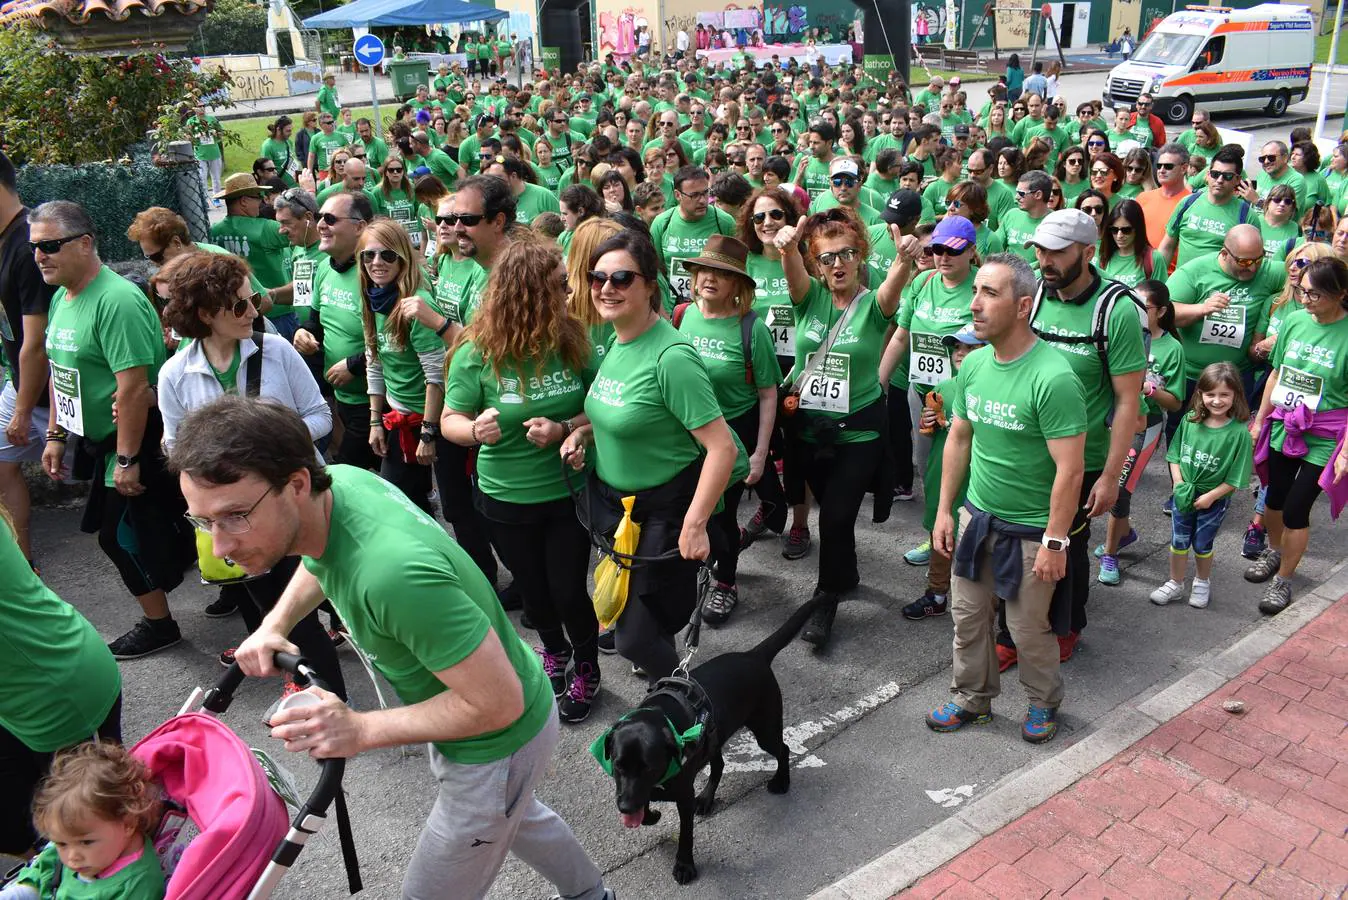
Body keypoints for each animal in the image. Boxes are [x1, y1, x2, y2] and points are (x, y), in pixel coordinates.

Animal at [598, 598, 819, 883]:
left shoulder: (683, 795)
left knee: (783, 749)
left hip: (766, 729)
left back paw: (781, 781)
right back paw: (706, 799)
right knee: (719, 765)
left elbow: (685, 835)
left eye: (648, 767)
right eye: (617, 765)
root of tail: (753, 655)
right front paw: (652, 814)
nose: (624, 808)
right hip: (715, 736)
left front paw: (684, 865)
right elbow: (644, 807)